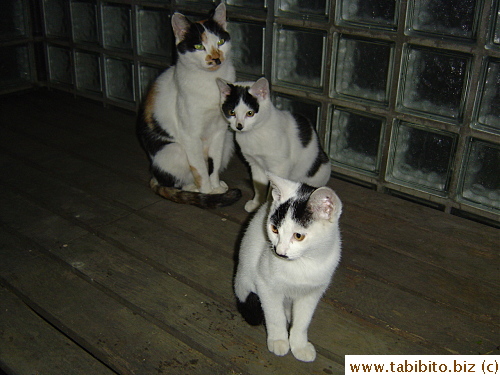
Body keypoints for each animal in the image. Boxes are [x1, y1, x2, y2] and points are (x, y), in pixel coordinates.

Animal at [135, 2, 240, 209]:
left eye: (220, 42)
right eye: (199, 46)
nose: (216, 58)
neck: (211, 83)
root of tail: (153, 175)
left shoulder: (219, 132)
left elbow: (213, 164)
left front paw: (215, 186)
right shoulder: (190, 135)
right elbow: (199, 168)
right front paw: (207, 191)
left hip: (228, 142)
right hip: (174, 150)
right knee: (174, 182)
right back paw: (193, 189)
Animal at [216, 78, 330, 213]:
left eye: (250, 113)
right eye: (232, 112)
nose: (239, 125)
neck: (255, 133)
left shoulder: (281, 166)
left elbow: (275, 188)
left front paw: (267, 208)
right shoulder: (255, 164)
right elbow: (258, 185)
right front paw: (257, 204)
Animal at [233, 174, 342, 364]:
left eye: (298, 236)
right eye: (274, 229)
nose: (280, 251)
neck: (302, 264)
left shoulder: (313, 292)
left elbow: (303, 320)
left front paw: (299, 345)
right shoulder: (265, 284)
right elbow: (274, 315)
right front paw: (279, 340)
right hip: (244, 282)